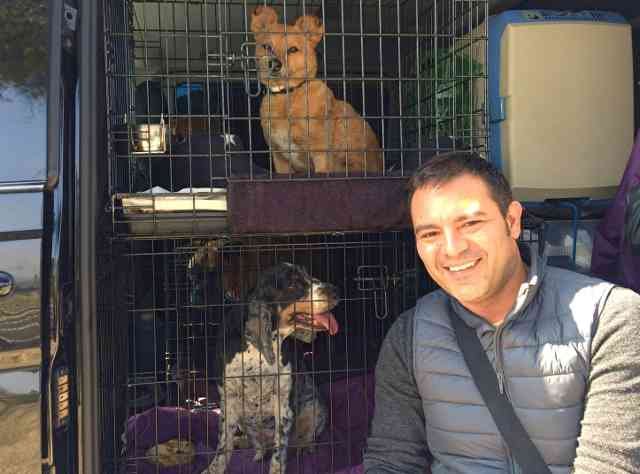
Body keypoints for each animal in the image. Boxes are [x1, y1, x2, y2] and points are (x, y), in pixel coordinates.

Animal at [202, 262, 338, 472]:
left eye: (308, 274)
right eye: (293, 283)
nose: (336, 291)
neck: (257, 353)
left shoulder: (283, 404)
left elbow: (279, 451)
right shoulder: (228, 401)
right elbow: (223, 447)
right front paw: (213, 468)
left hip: (314, 407)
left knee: (305, 437)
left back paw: (305, 448)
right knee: (255, 444)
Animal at [250, 6, 382, 174]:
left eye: (293, 49)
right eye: (266, 47)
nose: (274, 64)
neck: (288, 96)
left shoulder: (321, 155)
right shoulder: (280, 159)